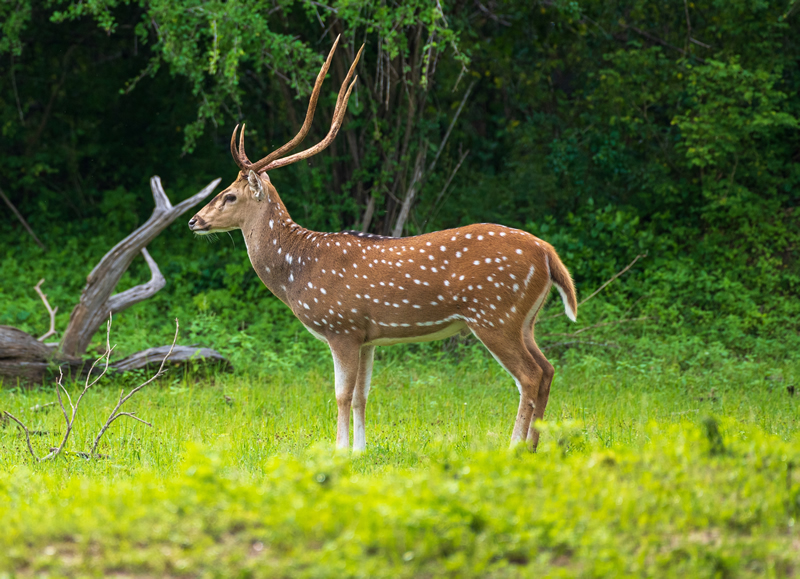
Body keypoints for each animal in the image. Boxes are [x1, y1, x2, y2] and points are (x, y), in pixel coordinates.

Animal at [188, 37, 578, 452]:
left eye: (229, 195)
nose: (194, 220)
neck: (298, 272)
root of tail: (547, 253)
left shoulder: (341, 326)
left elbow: (341, 394)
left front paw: (340, 450)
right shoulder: (367, 335)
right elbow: (362, 394)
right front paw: (361, 450)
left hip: (495, 315)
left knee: (530, 376)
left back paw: (515, 447)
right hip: (525, 320)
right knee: (548, 369)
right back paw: (534, 445)